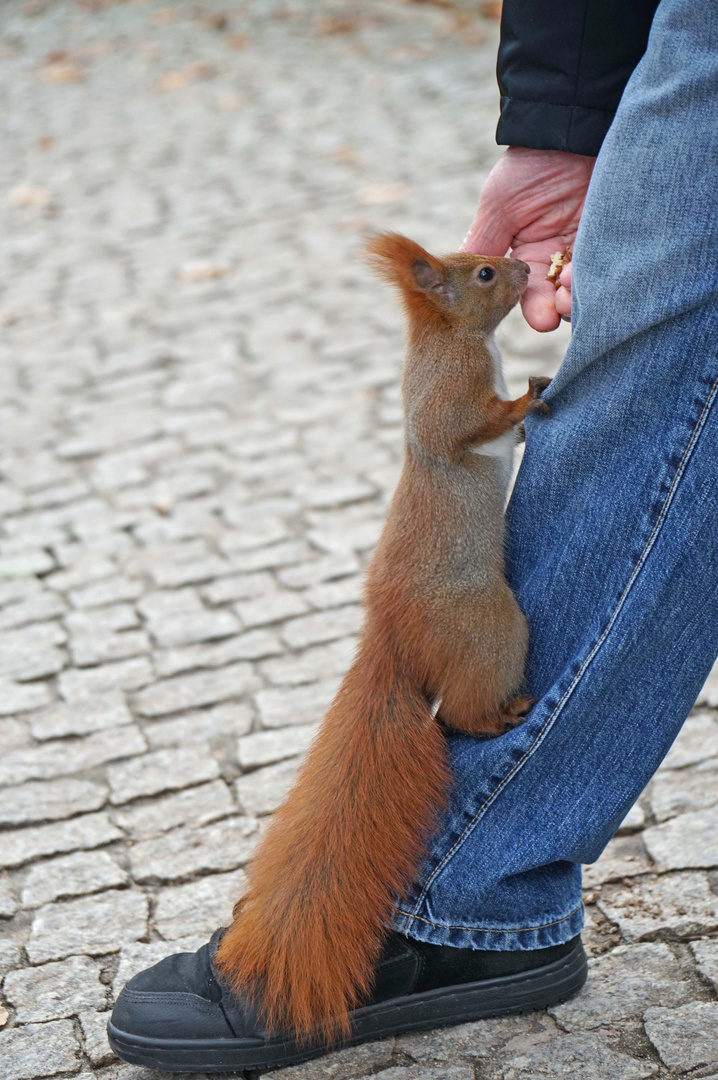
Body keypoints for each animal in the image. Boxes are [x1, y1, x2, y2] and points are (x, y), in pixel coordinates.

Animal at [212, 236, 548, 1045]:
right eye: (484, 273)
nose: (525, 266)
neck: (451, 338)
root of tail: (394, 636)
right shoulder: (450, 399)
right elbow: (467, 428)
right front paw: (530, 396)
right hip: (495, 625)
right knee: (459, 715)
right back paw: (506, 712)